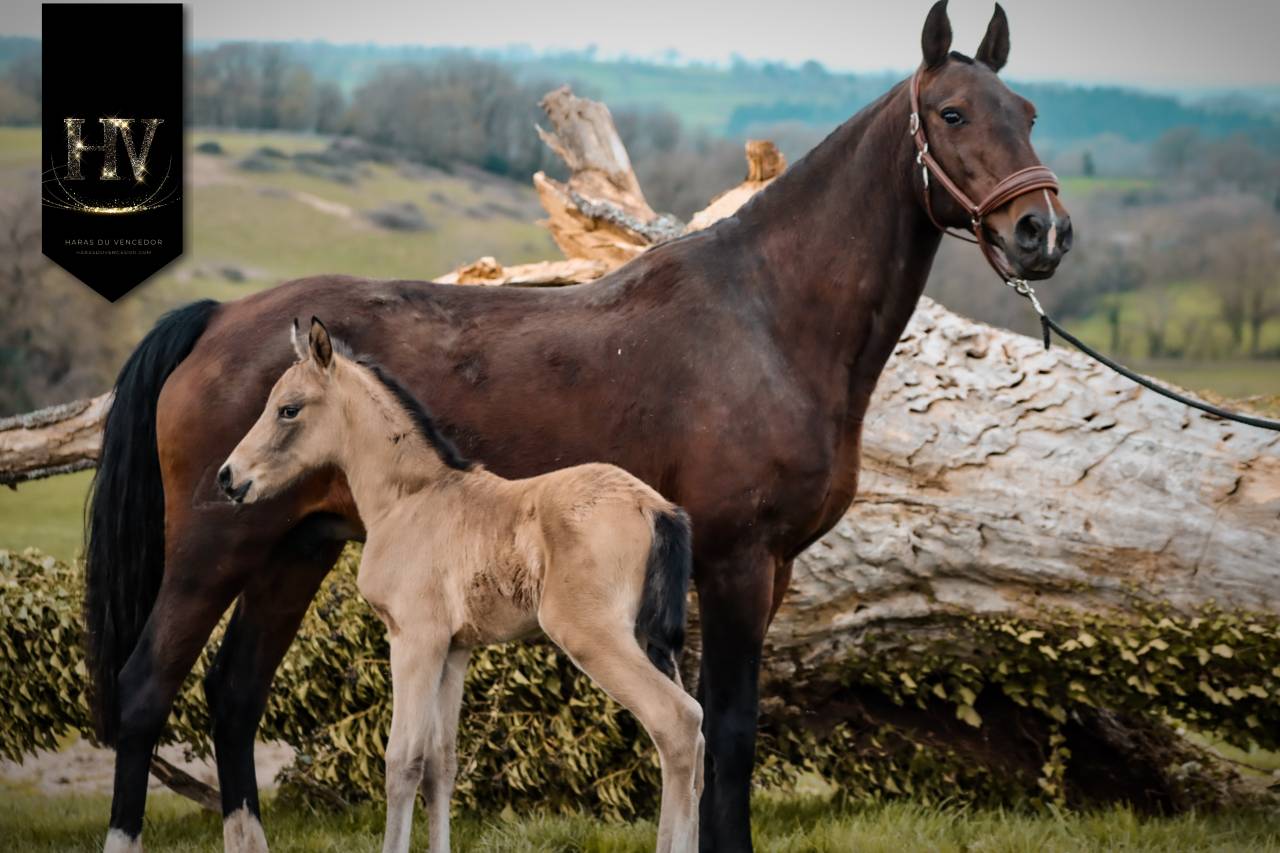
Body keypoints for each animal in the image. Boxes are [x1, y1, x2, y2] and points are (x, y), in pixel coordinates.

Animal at [219, 317, 703, 853]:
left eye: (289, 409)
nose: (228, 477)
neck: (409, 500)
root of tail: (655, 506)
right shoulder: (455, 649)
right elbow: (440, 765)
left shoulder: (414, 639)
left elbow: (401, 760)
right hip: (649, 640)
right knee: (696, 741)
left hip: (592, 636)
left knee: (677, 721)